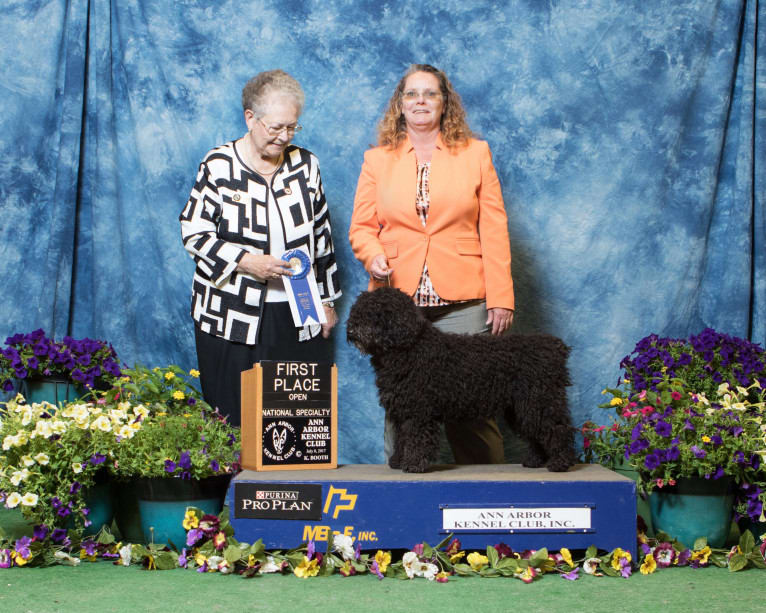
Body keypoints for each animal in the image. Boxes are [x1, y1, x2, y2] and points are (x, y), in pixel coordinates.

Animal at [348, 286, 576, 474]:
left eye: (377, 313)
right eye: (358, 311)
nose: (351, 330)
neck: (410, 348)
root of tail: (556, 347)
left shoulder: (419, 411)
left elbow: (416, 438)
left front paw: (413, 464)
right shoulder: (402, 411)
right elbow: (402, 439)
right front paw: (397, 461)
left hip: (539, 402)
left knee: (558, 428)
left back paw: (560, 463)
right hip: (521, 408)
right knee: (535, 433)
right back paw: (535, 461)